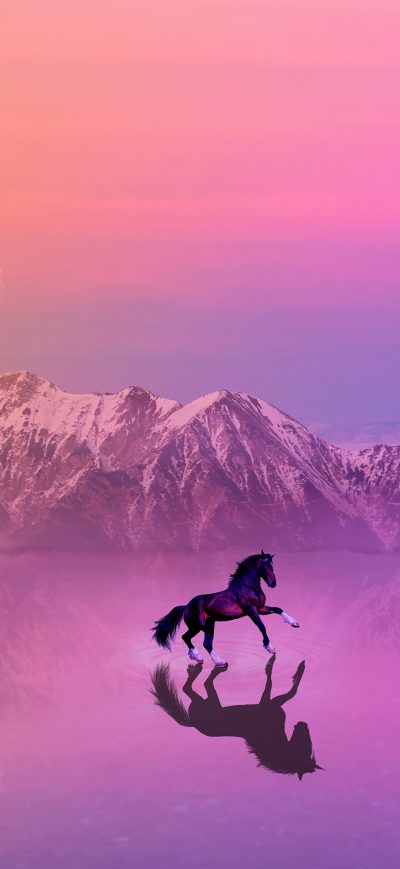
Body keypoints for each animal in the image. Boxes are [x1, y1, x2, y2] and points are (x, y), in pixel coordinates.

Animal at [150, 656, 322, 779]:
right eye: (305, 748)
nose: (303, 724)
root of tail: (192, 723)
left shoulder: (271, 704)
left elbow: (289, 690)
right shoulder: (268, 704)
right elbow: (284, 688)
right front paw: (278, 665)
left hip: (208, 701)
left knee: (193, 687)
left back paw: (196, 669)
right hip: (211, 701)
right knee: (201, 684)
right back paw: (204, 668)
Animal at [152, 550, 300, 666]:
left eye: (271, 564)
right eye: (265, 564)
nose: (273, 583)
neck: (248, 587)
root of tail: (186, 606)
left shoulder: (261, 609)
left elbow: (278, 609)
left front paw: (294, 623)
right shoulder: (251, 610)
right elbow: (262, 626)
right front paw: (270, 648)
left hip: (209, 625)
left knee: (207, 644)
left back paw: (219, 662)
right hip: (197, 626)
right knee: (186, 637)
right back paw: (198, 657)